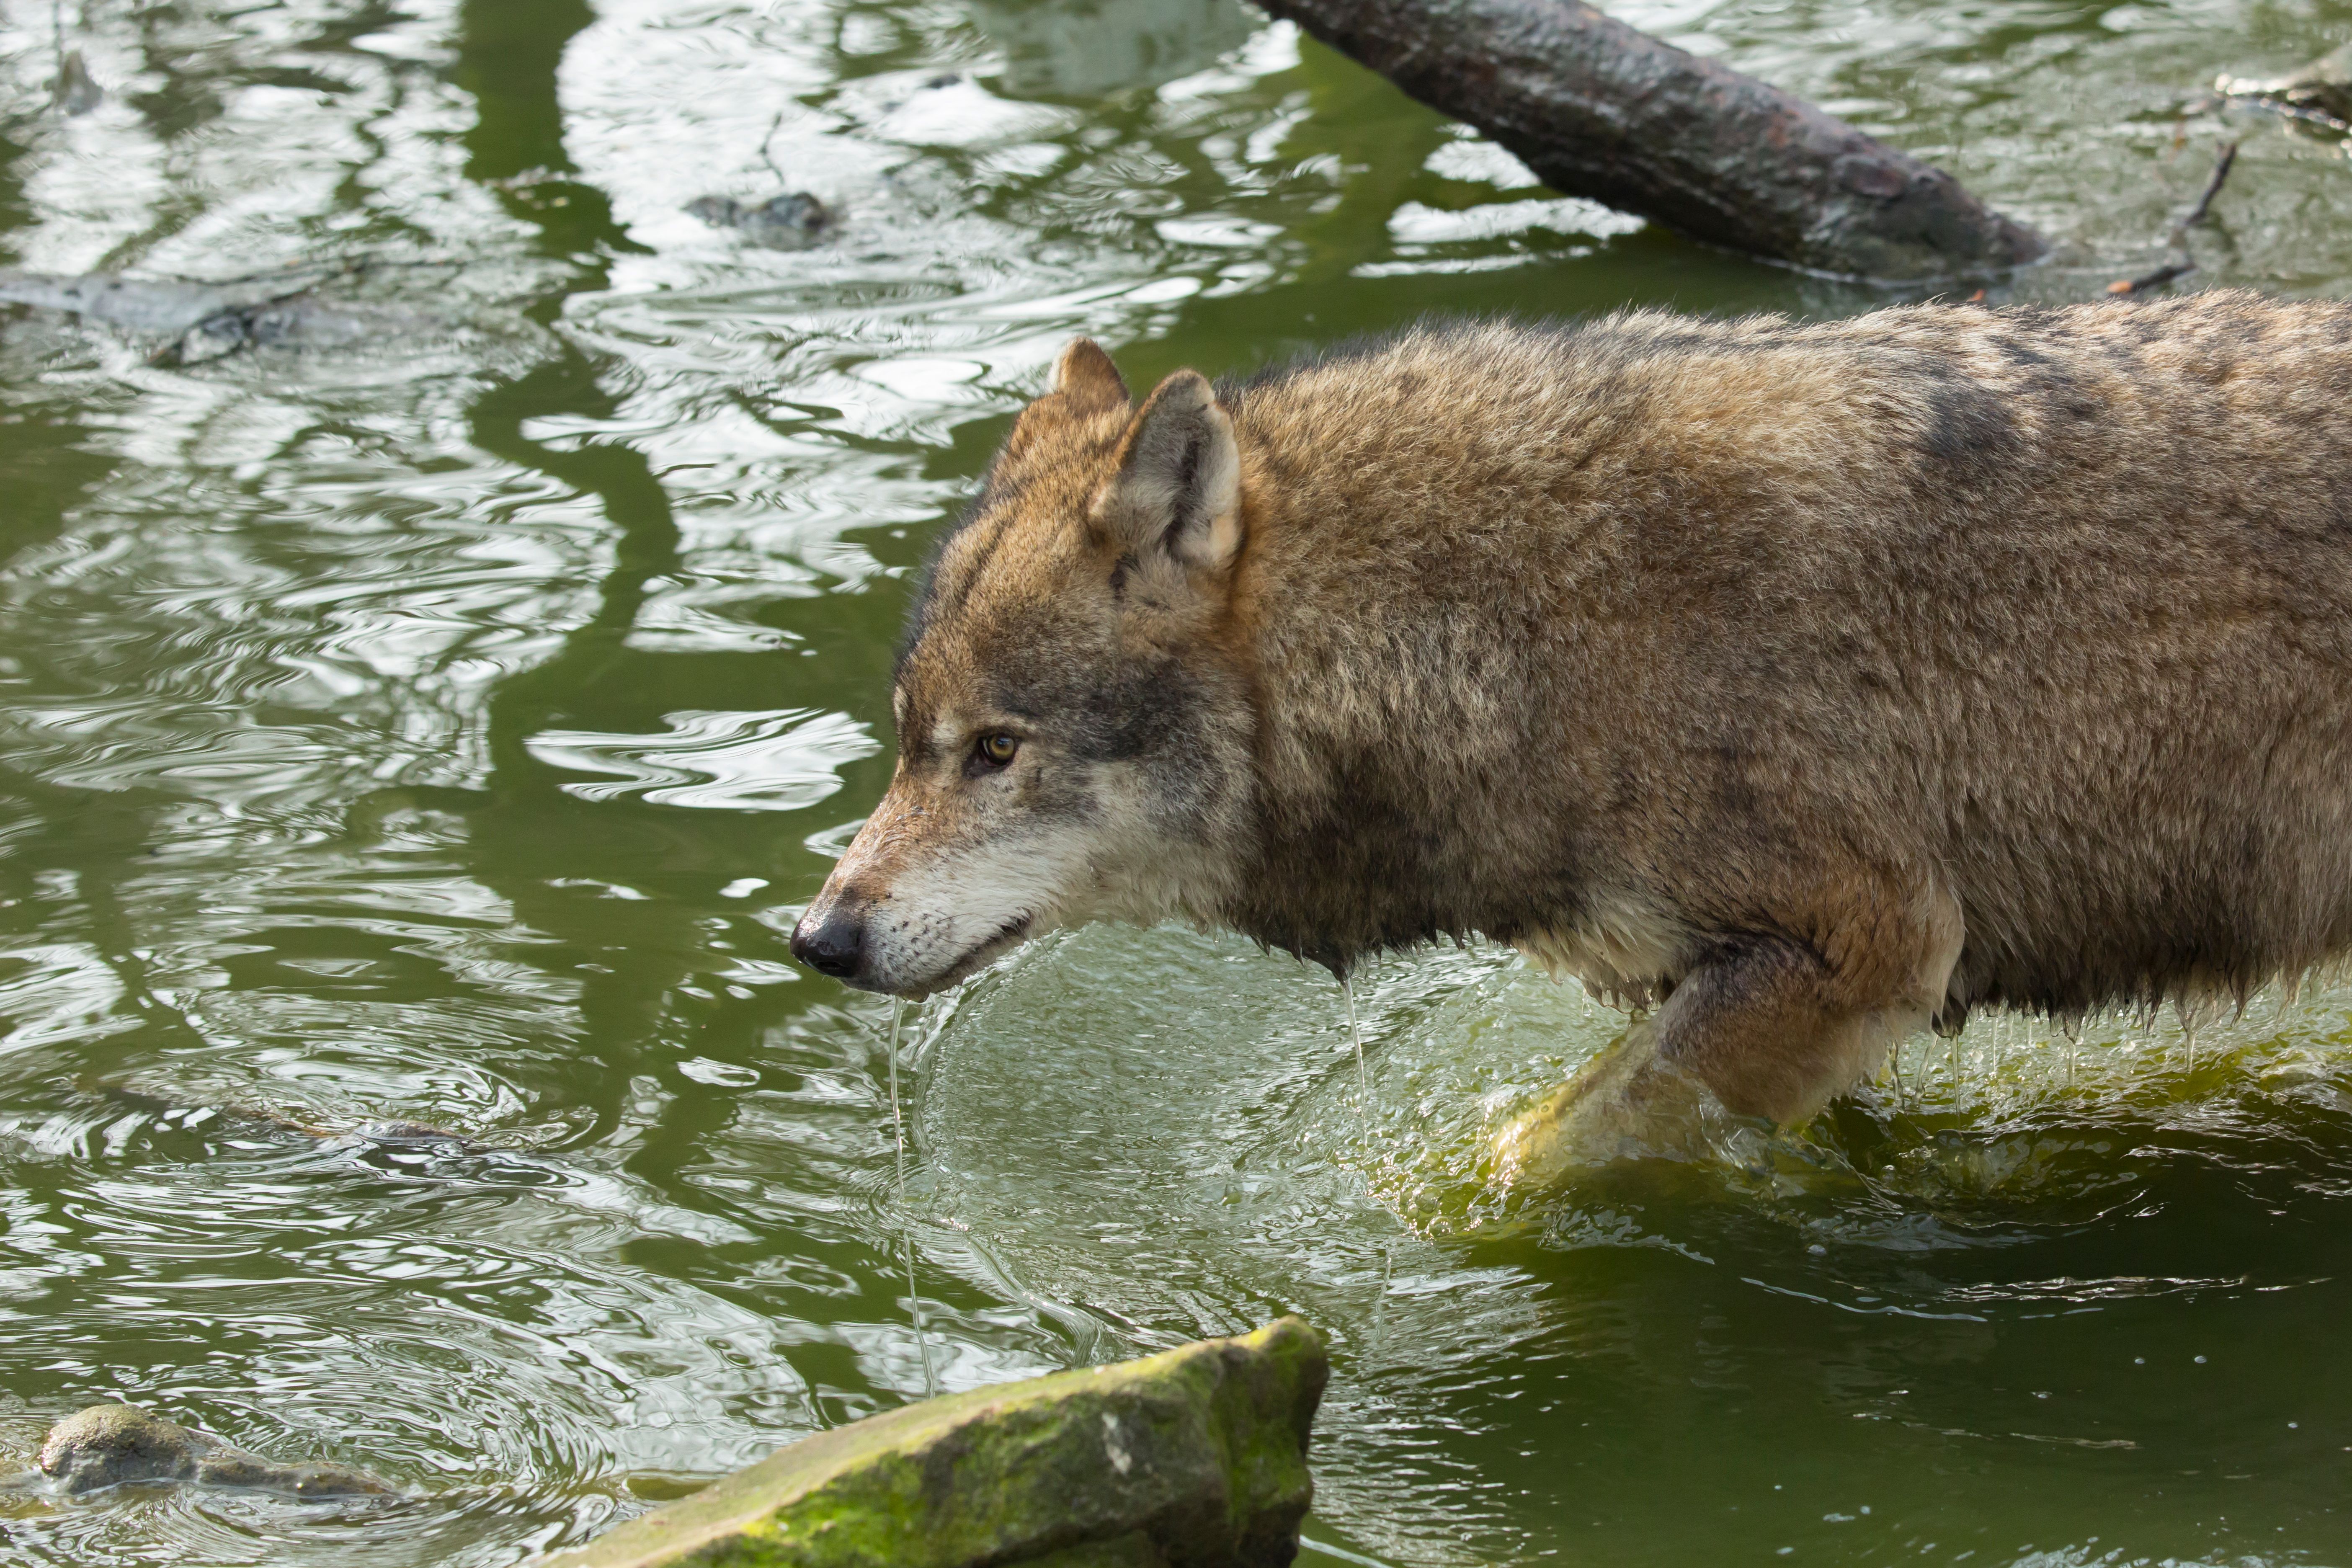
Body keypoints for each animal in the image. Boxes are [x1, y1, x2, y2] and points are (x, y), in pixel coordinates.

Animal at [791, 293, 2352, 1179]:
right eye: (908, 742)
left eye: (995, 752)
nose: (818, 938)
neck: (1516, 620)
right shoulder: (1771, 1005)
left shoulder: (1858, 944)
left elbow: (1529, 1164)